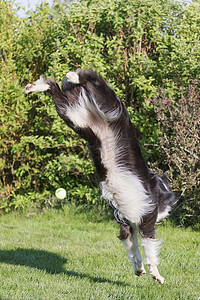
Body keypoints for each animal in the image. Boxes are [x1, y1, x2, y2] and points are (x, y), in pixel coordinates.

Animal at [24, 68, 175, 284]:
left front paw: (139, 270)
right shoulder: (146, 221)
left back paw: (35, 87)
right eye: (168, 204)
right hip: (109, 104)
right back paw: (73, 75)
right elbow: (150, 252)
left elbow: (134, 252)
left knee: (54, 88)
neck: (158, 190)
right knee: (93, 80)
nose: (167, 214)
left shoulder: (126, 224)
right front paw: (157, 276)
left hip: (73, 116)